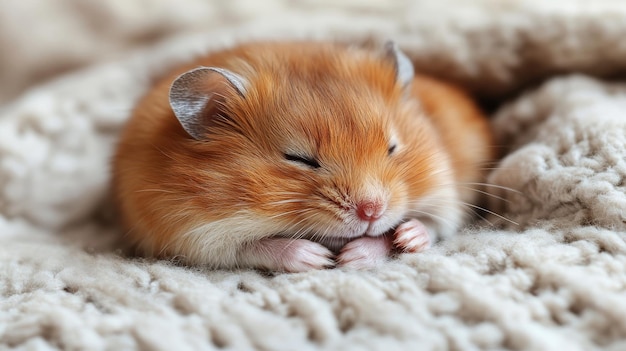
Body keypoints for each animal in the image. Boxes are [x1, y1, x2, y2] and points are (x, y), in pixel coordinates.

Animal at [111, 41, 492, 272]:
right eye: (299, 158)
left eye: (393, 147)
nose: (372, 211)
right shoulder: (193, 235)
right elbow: (253, 247)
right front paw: (321, 259)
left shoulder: (445, 193)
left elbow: (432, 224)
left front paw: (381, 246)